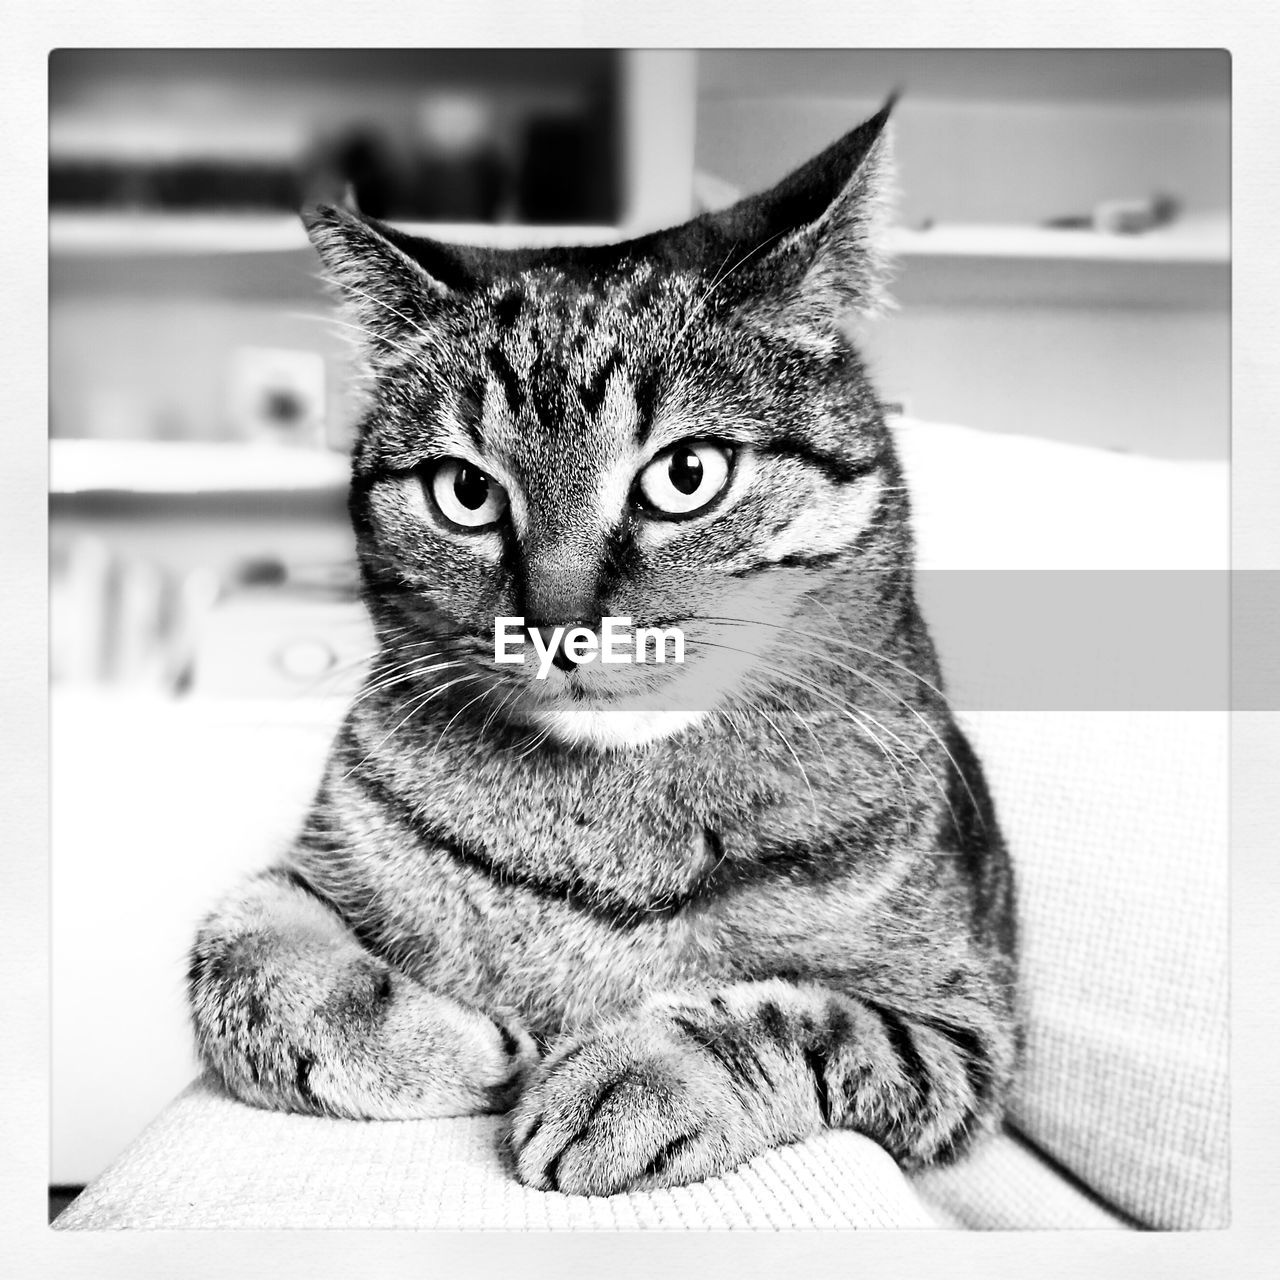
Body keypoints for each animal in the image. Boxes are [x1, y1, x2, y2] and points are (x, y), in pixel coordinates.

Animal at [186, 102, 1018, 1198]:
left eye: (685, 474)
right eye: (466, 490)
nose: (557, 621)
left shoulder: (963, 1030)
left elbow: (806, 1019)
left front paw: (636, 1072)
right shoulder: (296, 874)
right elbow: (242, 961)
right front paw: (459, 1044)